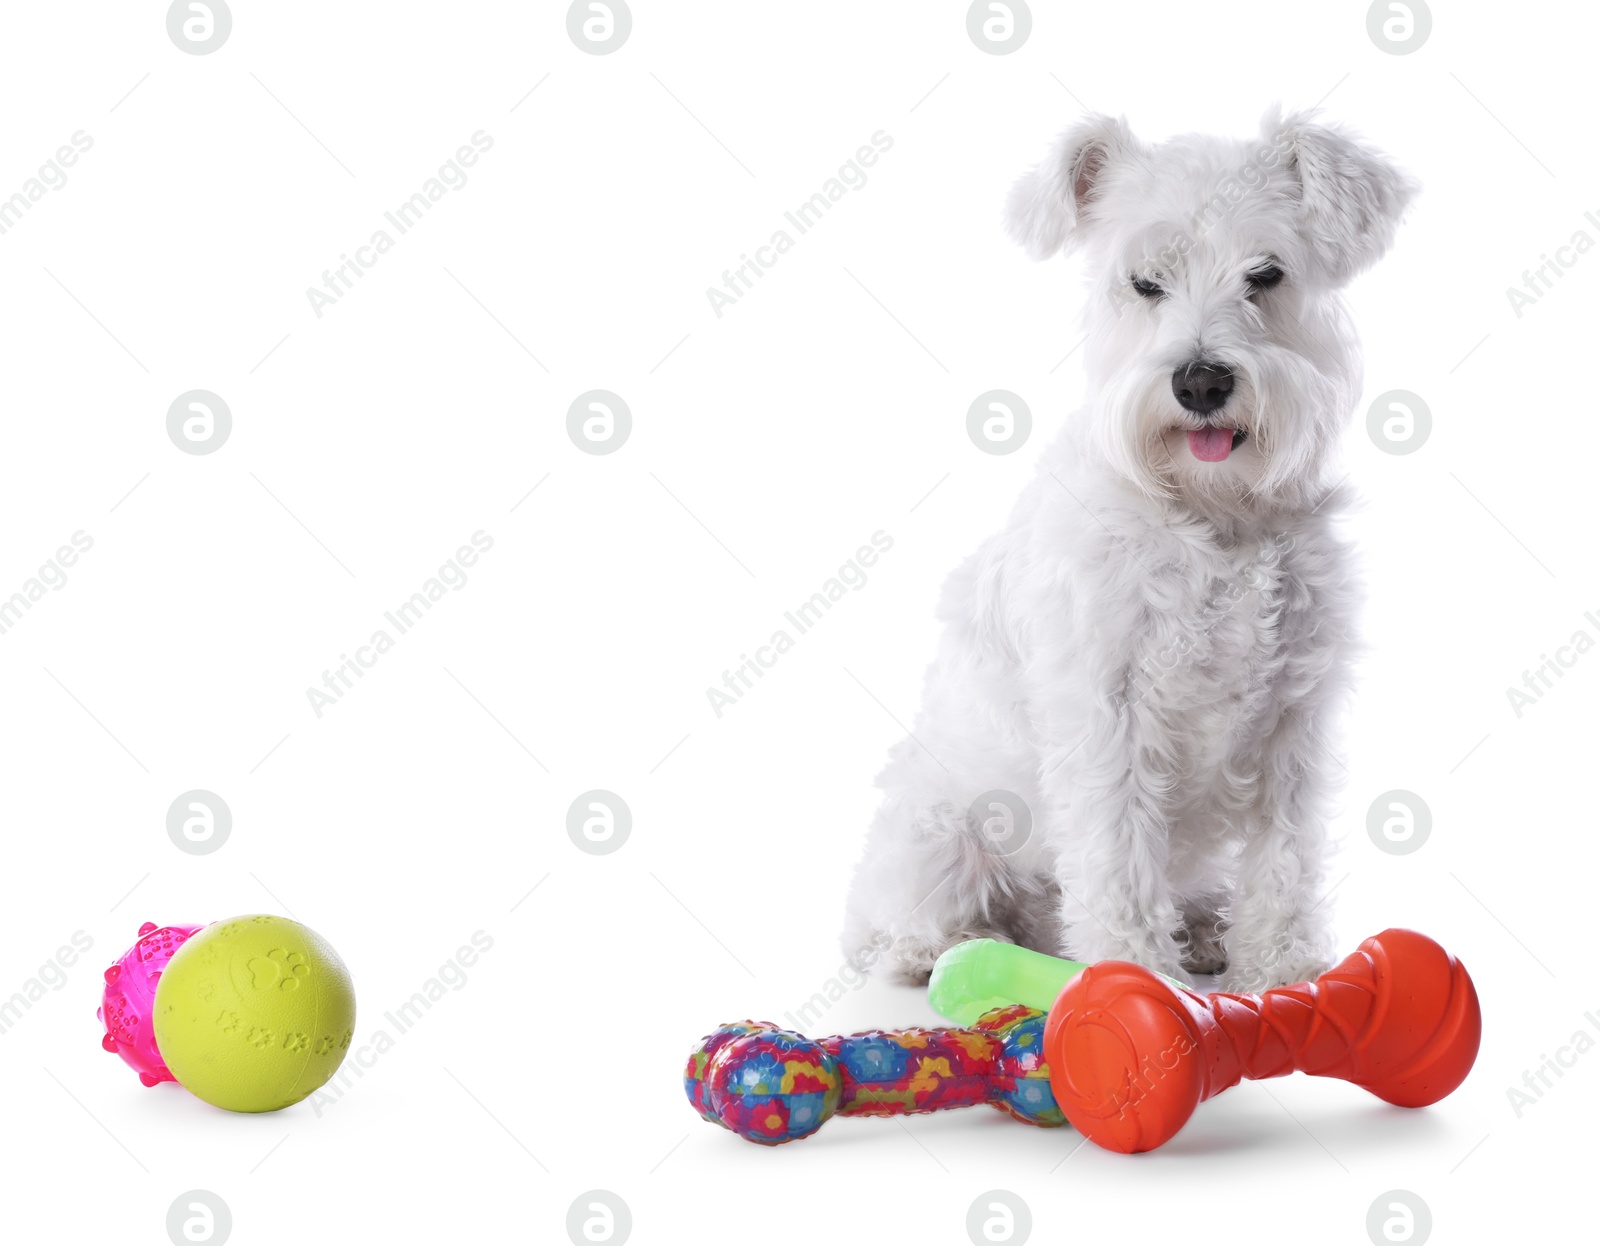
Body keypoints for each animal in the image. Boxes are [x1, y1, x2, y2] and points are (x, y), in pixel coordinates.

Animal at [844, 109, 1420, 991]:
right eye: (1144, 283)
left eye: (1266, 273)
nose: (1201, 381)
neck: (1213, 511)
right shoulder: (1106, 716)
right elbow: (1118, 862)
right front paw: (1137, 980)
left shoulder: (1293, 720)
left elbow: (1282, 864)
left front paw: (1283, 974)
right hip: (932, 830)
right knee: (905, 917)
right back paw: (932, 950)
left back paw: (1206, 932)